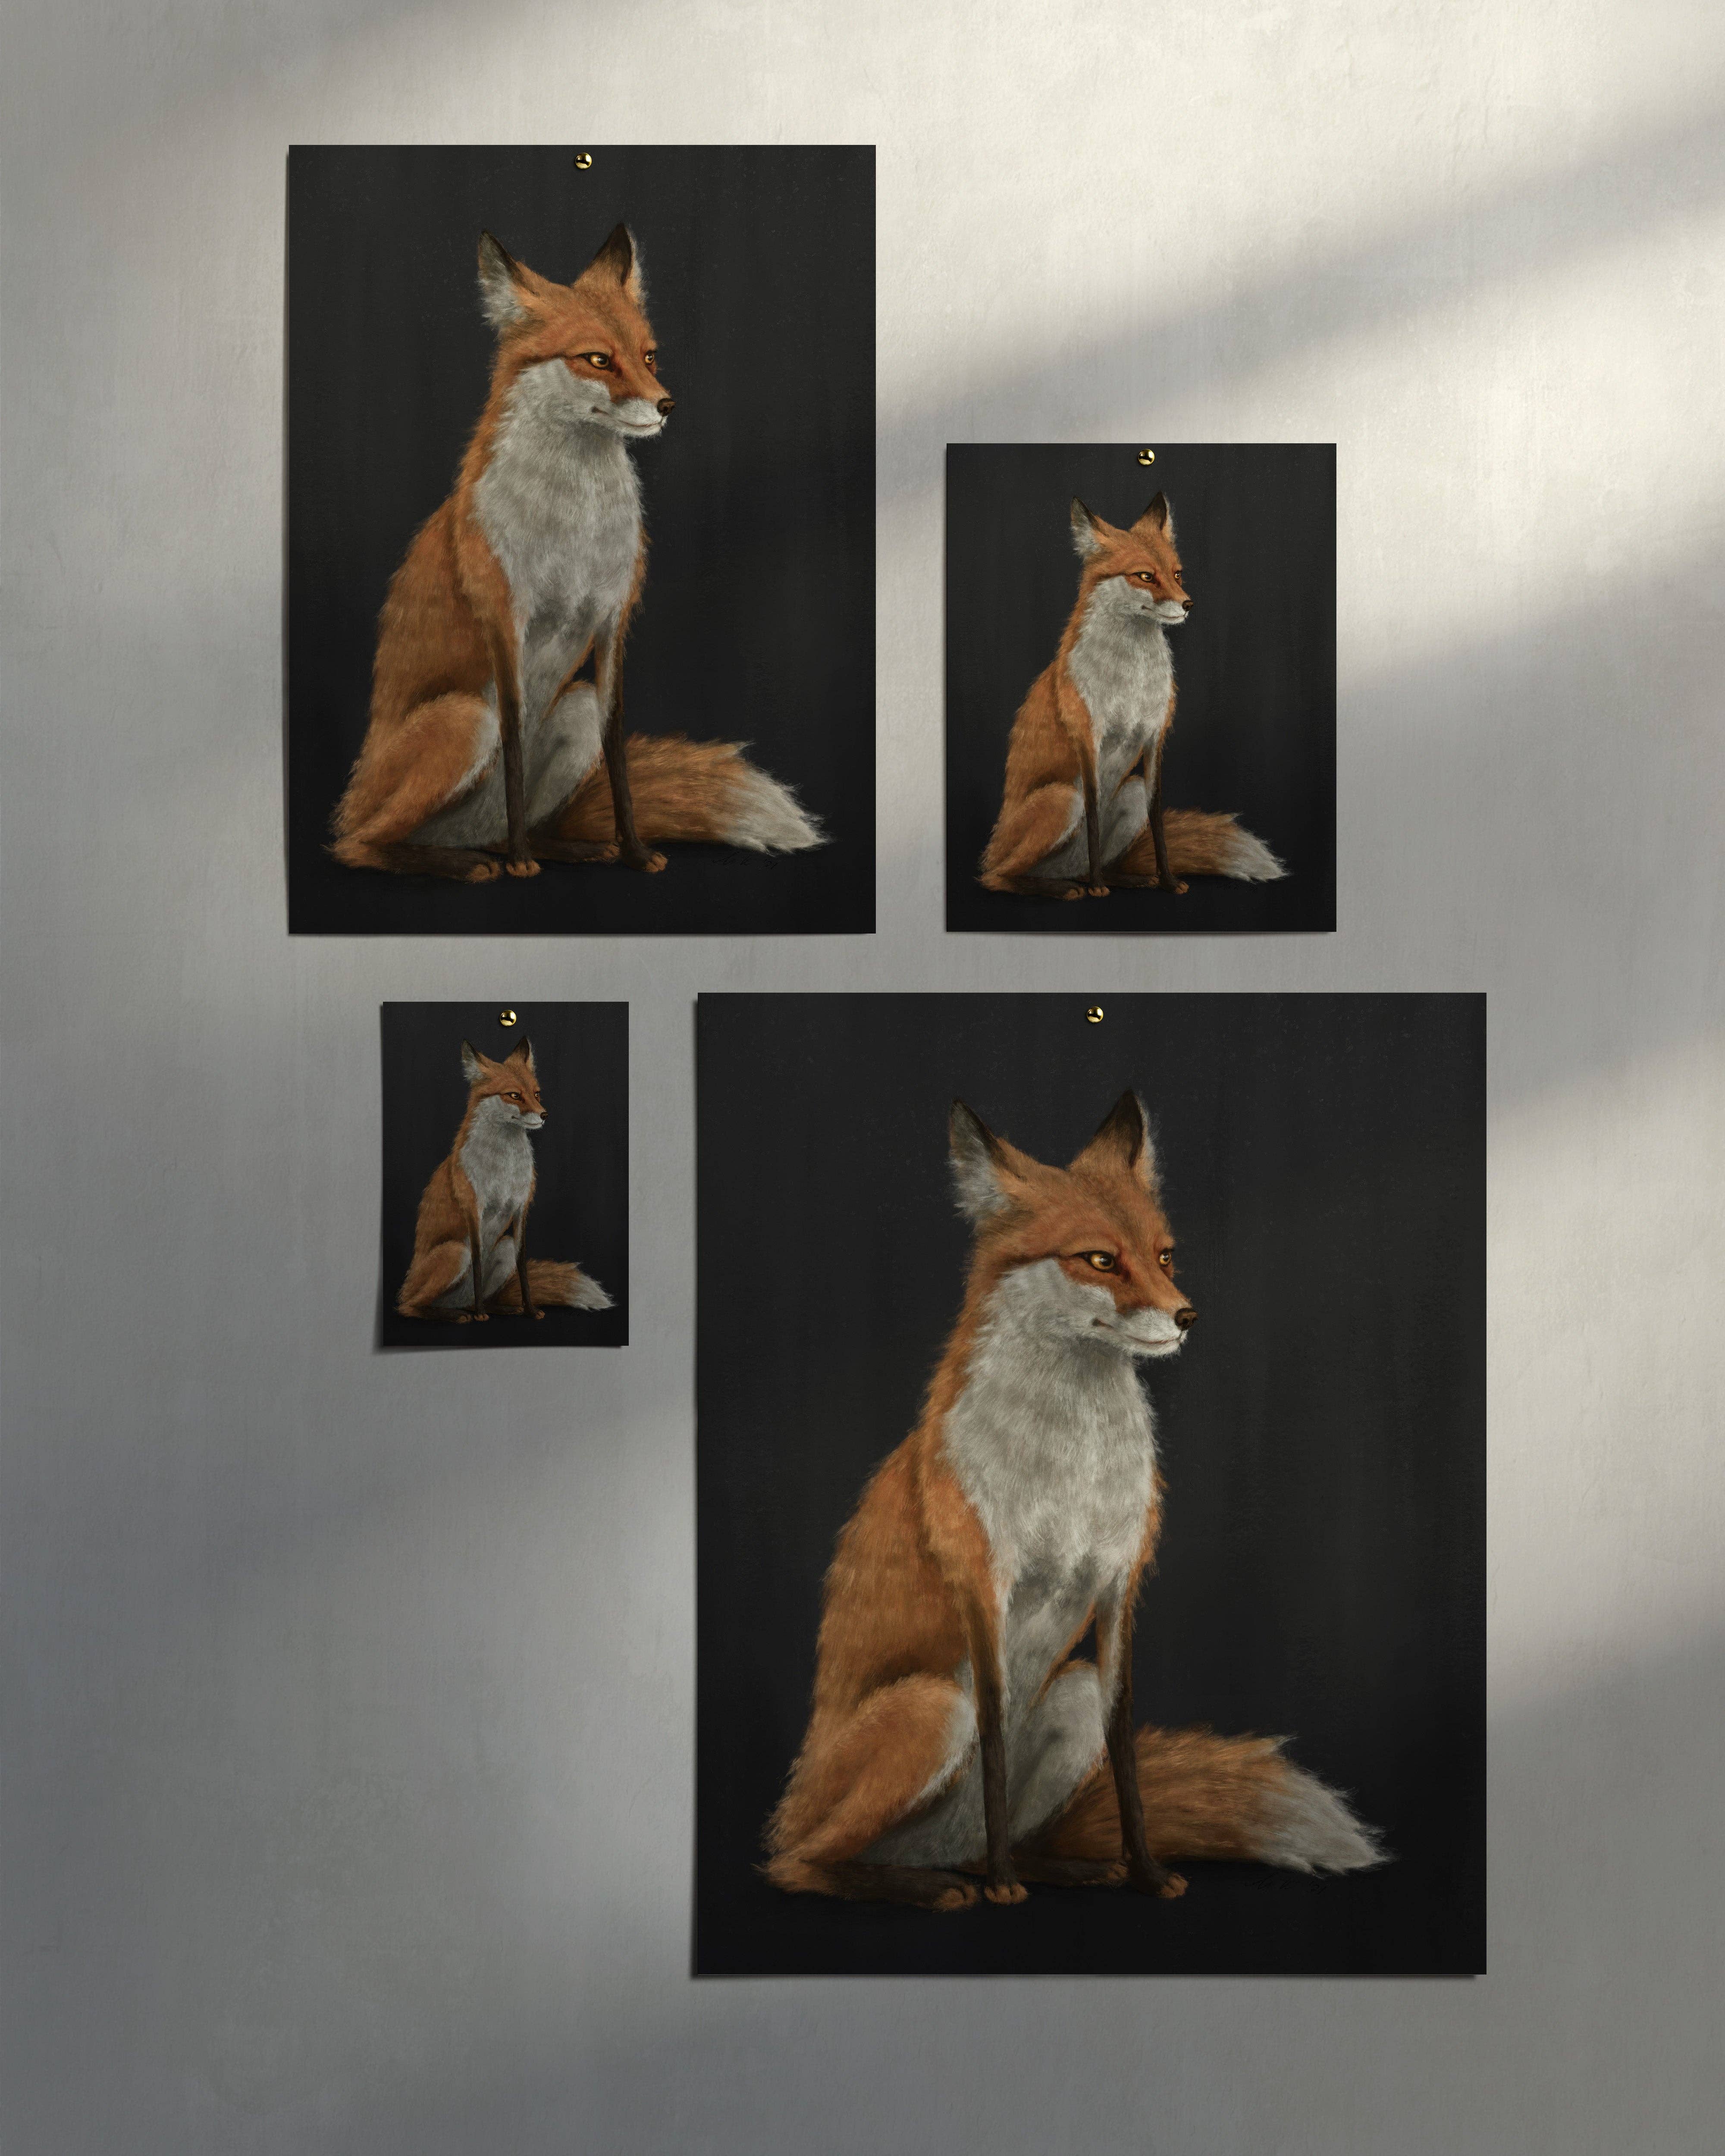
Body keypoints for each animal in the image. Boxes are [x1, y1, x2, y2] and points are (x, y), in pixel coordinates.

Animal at [332, 222, 822, 884]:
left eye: (649, 356)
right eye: (597, 359)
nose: (667, 404)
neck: (575, 524)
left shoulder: (614, 620)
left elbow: (618, 755)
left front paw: (634, 851)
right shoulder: (506, 621)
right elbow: (514, 745)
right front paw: (522, 864)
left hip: (574, 709)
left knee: (508, 824)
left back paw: (562, 848)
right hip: (464, 719)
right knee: (359, 845)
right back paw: (472, 861)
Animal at [396, 1038, 612, 1322]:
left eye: (537, 1094)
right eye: (514, 1095)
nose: (544, 1115)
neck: (505, 1167)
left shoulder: (521, 1209)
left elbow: (523, 1269)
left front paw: (530, 1310)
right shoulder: (474, 1210)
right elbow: (477, 1264)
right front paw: (481, 1316)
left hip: (504, 1248)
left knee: (476, 1297)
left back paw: (498, 1308)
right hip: (455, 1252)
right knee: (410, 1307)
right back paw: (457, 1314)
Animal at [764, 1092, 1381, 1911]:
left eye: (1164, 1256)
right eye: (1099, 1260)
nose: (1187, 1316)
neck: (1073, 1468)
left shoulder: (1120, 1585)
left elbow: (1125, 1755)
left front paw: (1145, 1873)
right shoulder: (984, 1586)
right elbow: (994, 1743)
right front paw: (1005, 1888)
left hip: (1070, 1695)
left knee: (984, 1840)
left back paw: (1055, 1868)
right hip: (931, 1708)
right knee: (800, 1864)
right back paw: (939, 1885)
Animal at [980, 493, 1285, 899]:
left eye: (1177, 574)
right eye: (1145, 576)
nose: (1188, 604)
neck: (1132, 680)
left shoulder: (1155, 738)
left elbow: (1158, 822)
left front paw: (1167, 881)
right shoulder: (1088, 739)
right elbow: (1093, 817)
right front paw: (1098, 889)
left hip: (1131, 793)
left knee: (1089, 864)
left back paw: (1126, 879)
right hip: (1062, 799)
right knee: (997, 877)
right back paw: (1066, 888)